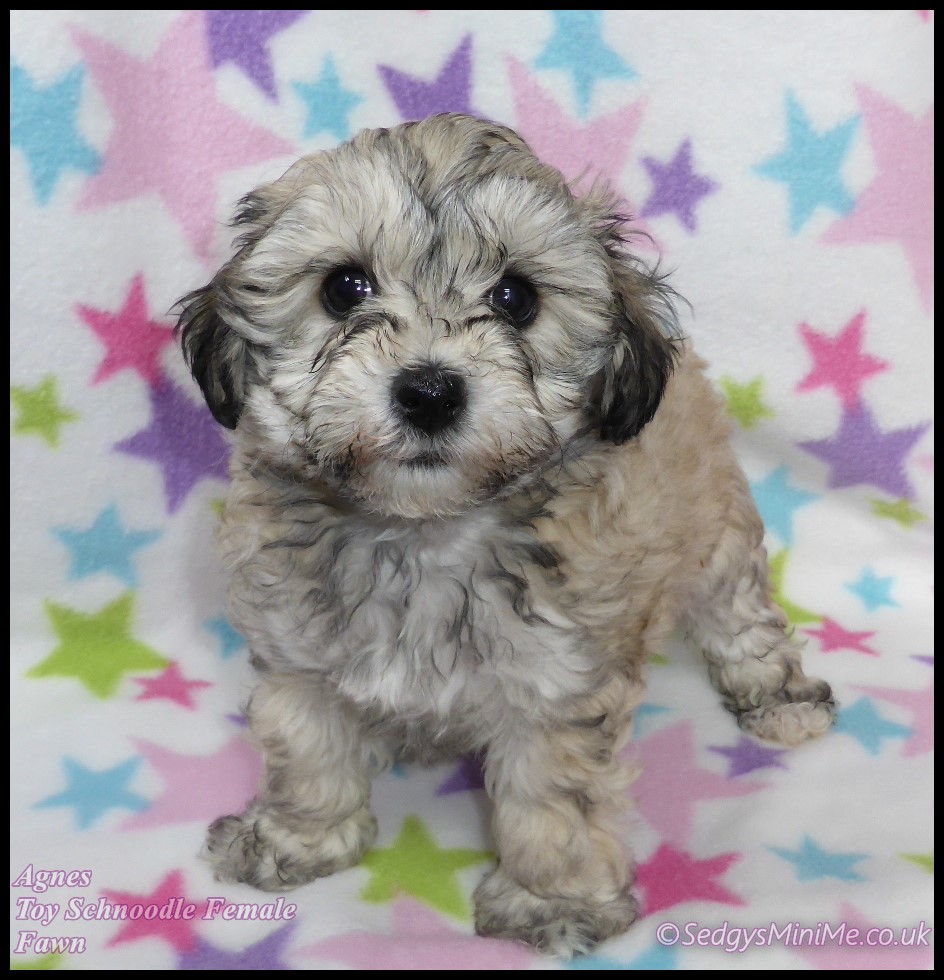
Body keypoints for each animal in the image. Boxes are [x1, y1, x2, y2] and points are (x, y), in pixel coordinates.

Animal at [176, 112, 835, 957]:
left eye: (517, 298)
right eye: (343, 289)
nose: (429, 391)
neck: (423, 533)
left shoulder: (558, 685)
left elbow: (552, 801)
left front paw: (551, 901)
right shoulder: (298, 657)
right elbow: (309, 754)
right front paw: (298, 839)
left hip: (717, 528)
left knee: (740, 614)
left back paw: (778, 695)